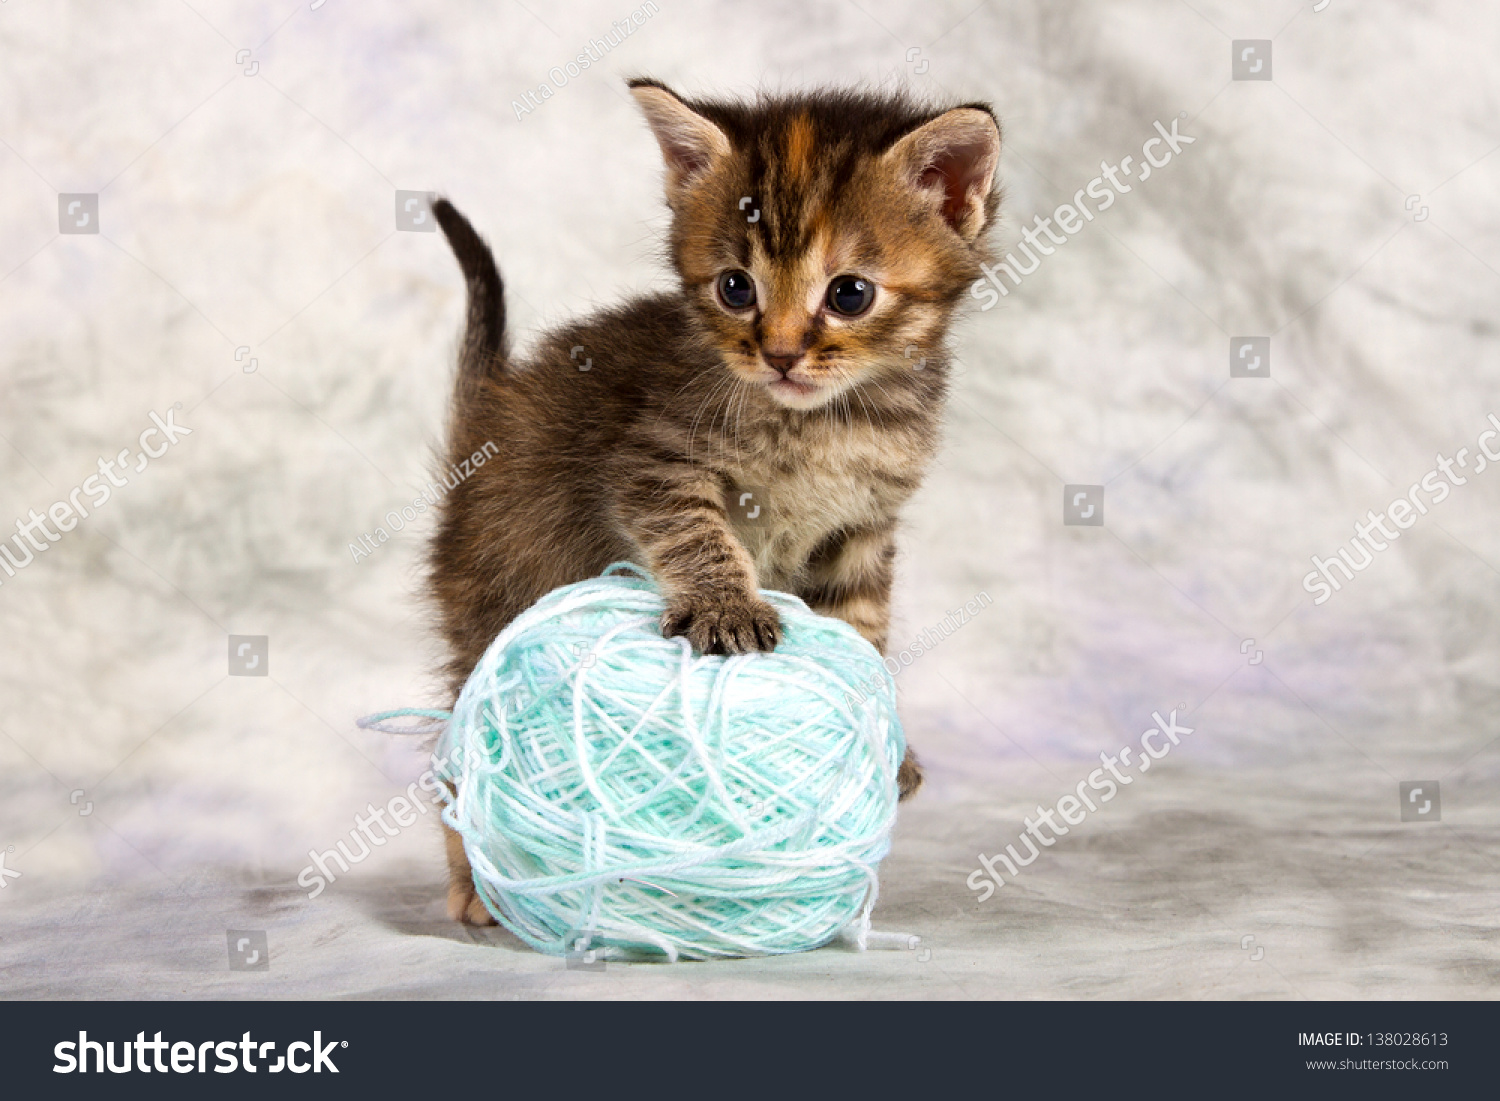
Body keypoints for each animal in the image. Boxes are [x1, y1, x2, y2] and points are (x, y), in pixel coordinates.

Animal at [429, 77, 1002, 930]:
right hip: (494, 594)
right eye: (737, 287)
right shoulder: (654, 460)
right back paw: (478, 879)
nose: (782, 353)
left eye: (850, 293)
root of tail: (489, 414)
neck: (826, 422)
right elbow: (698, 531)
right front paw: (727, 604)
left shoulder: (862, 528)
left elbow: (863, 630)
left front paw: (881, 727)